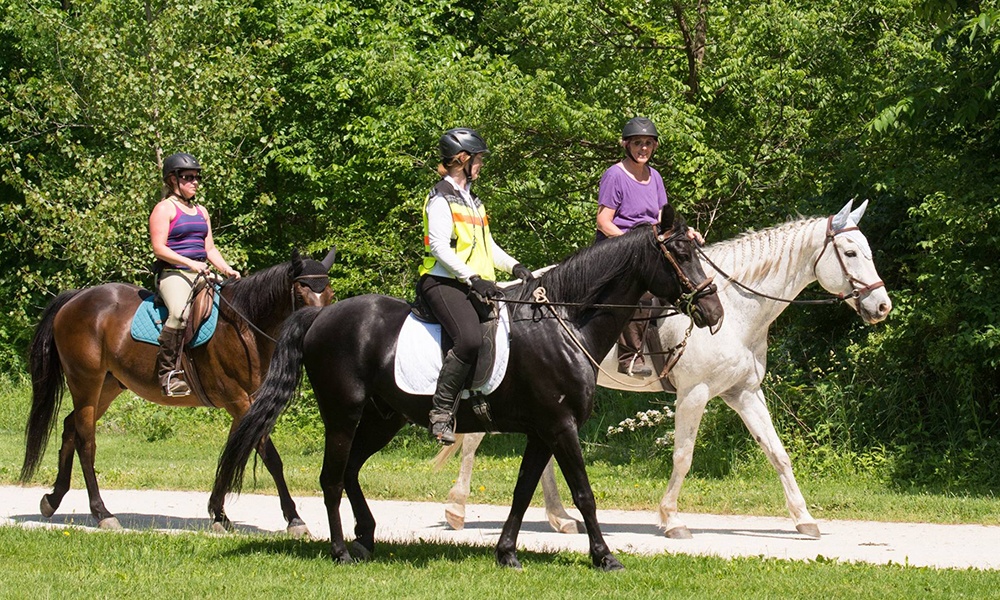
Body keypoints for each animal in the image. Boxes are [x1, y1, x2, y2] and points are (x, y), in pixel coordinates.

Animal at [20, 251, 336, 532]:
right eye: (301, 294)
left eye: (330, 295)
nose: (318, 332)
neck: (244, 326)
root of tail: (75, 298)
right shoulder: (240, 402)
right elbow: (271, 457)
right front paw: (294, 519)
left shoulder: (246, 404)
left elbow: (231, 452)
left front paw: (218, 514)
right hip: (86, 383)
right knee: (86, 442)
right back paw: (102, 513)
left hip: (107, 387)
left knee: (69, 427)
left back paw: (53, 499)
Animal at [215, 207, 724, 572]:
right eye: (680, 254)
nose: (714, 312)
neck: (563, 323)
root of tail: (319, 316)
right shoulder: (560, 427)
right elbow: (584, 493)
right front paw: (605, 557)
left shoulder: (542, 430)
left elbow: (522, 491)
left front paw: (507, 552)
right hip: (343, 414)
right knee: (332, 478)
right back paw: (341, 549)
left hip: (382, 419)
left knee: (352, 471)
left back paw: (366, 539)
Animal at [436, 200, 892, 540]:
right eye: (850, 253)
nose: (882, 305)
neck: (738, 309)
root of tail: (506, 296)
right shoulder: (695, 394)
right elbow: (683, 456)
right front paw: (672, 519)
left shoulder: (743, 392)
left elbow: (777, 453)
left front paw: (804, 519)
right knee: (474, 440)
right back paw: (457, 509)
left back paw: (560, 518)